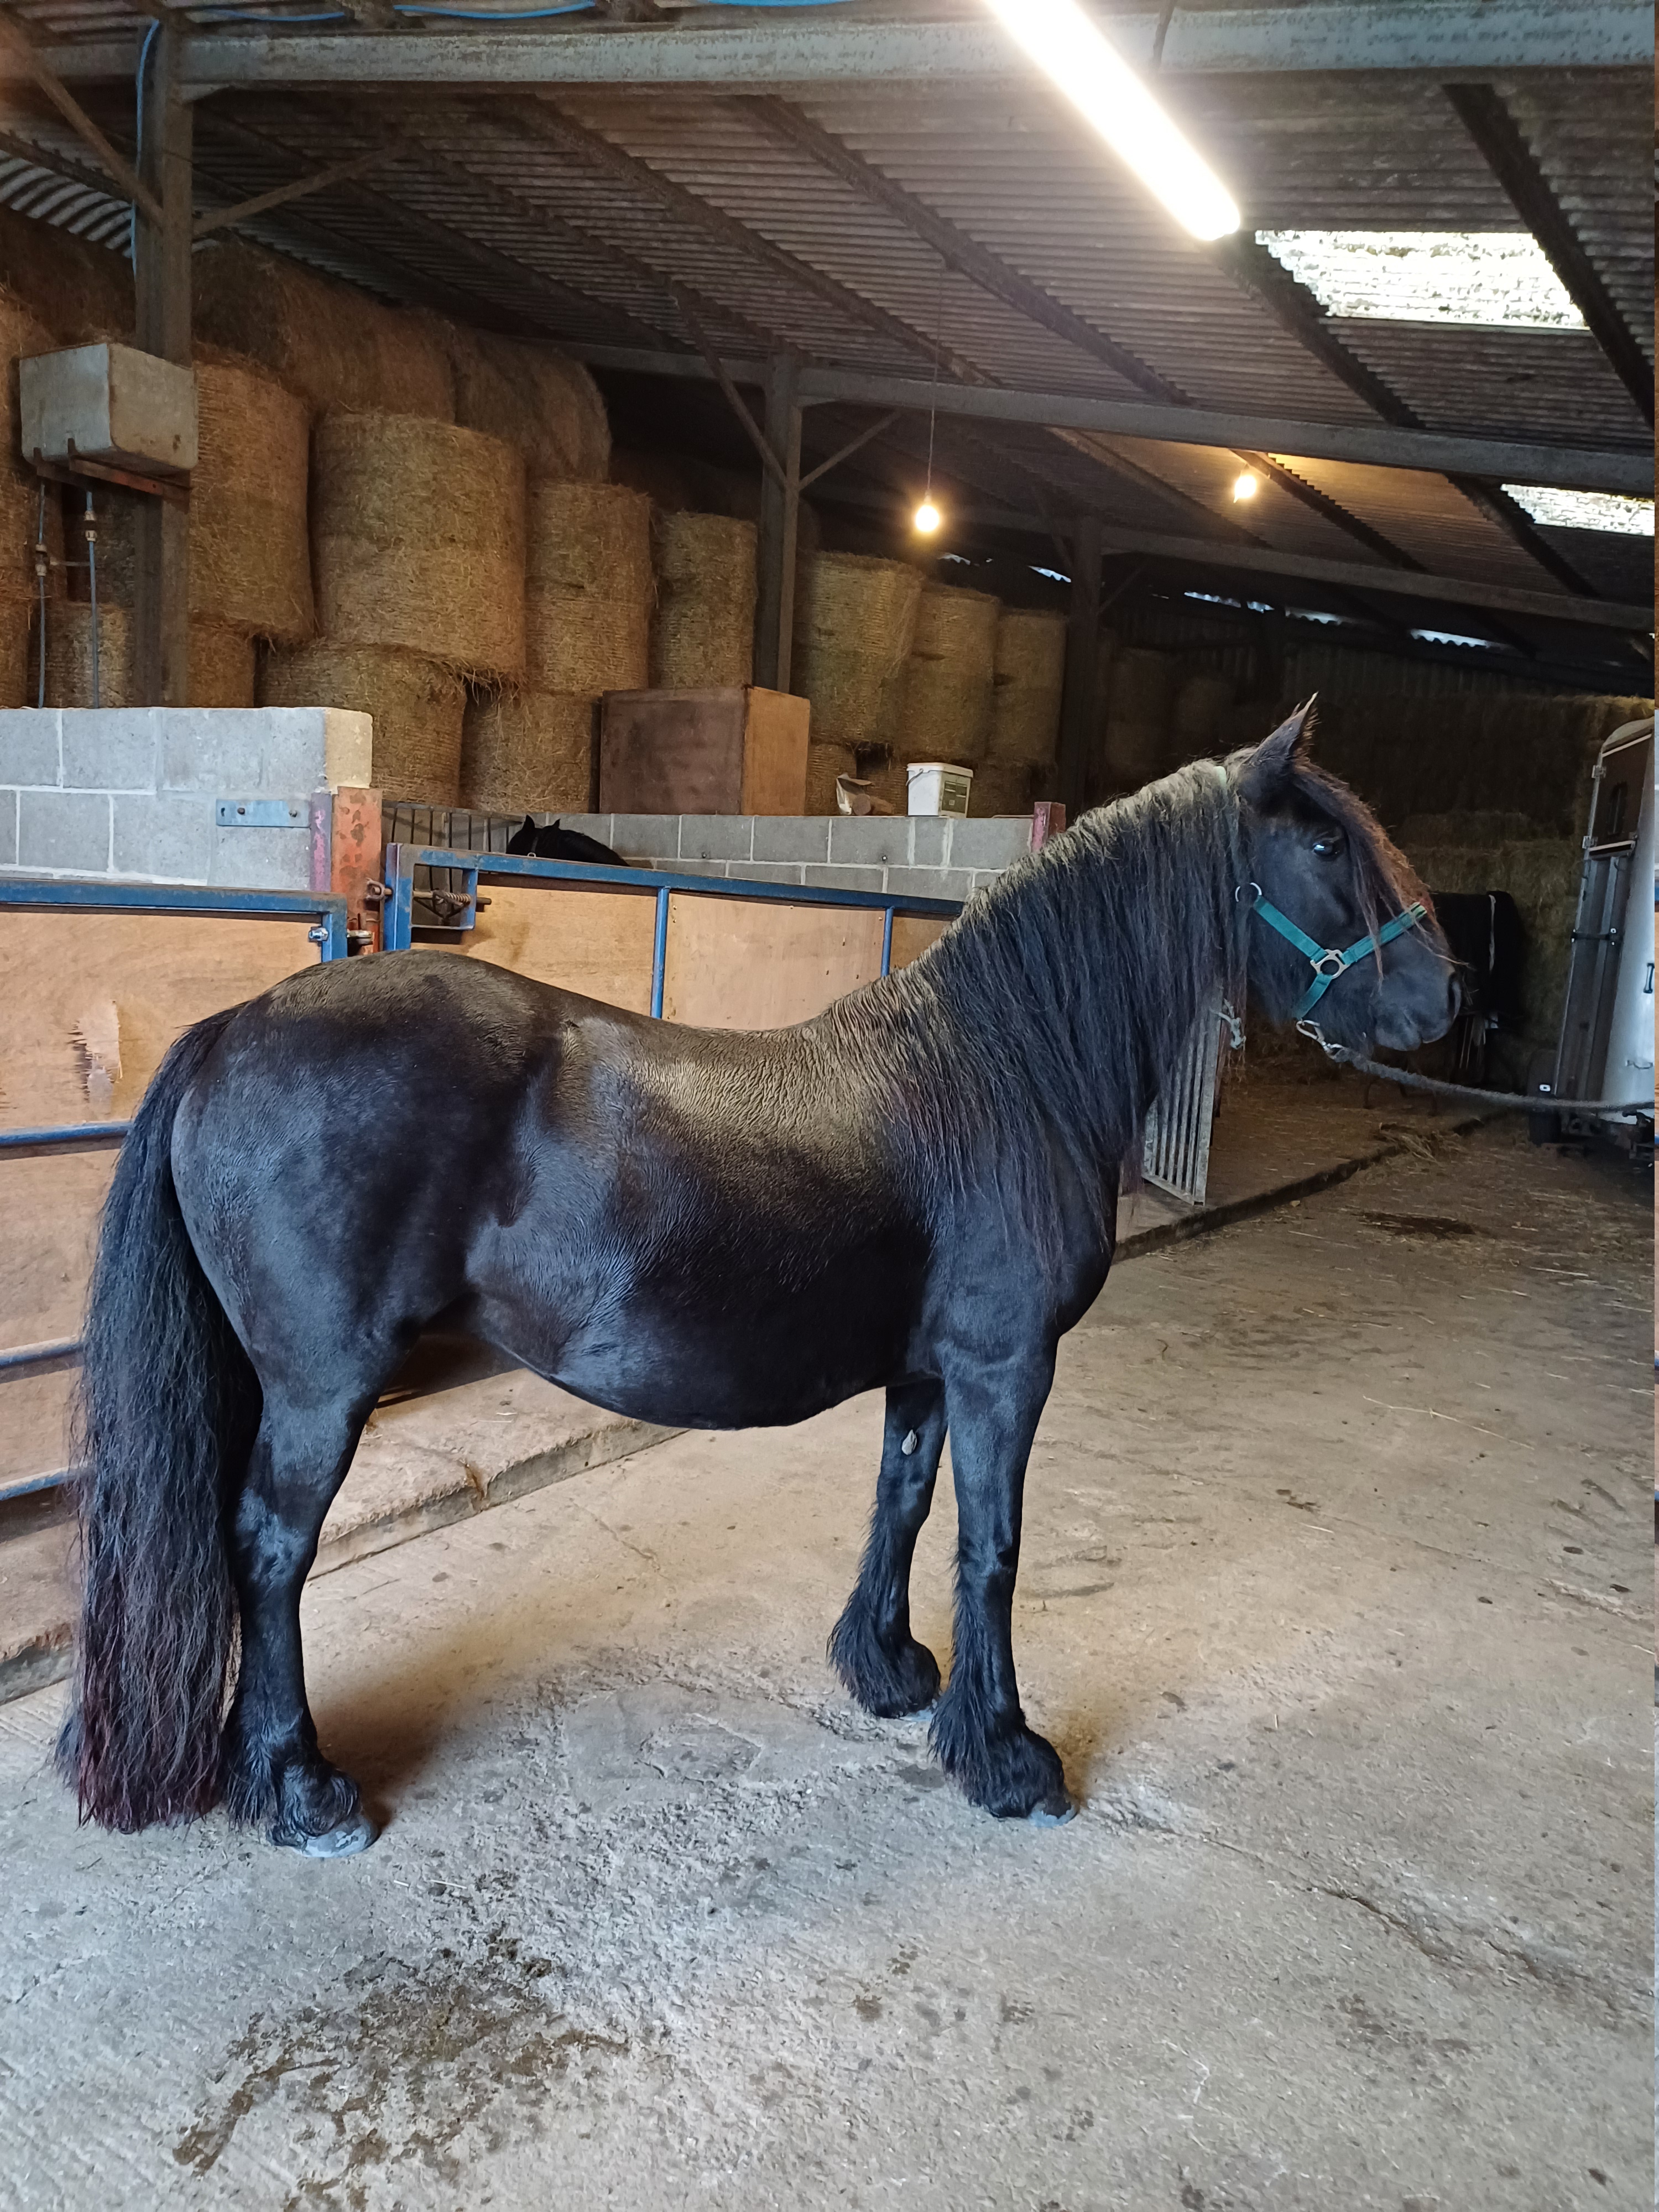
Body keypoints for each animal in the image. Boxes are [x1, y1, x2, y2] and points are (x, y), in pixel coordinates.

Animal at [55, 708, 1451, 1849]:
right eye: (1323, 843)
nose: (1444, 1000)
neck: (1001, 1072)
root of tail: (230, 1029)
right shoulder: (1007, 1366)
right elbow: (993, 1544)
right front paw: (1006, 1756)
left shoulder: (927, 1371)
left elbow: (902, 1503)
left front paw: (889, 1672)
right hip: (317, 1386)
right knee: (270, 1550)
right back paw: (301, 1788)